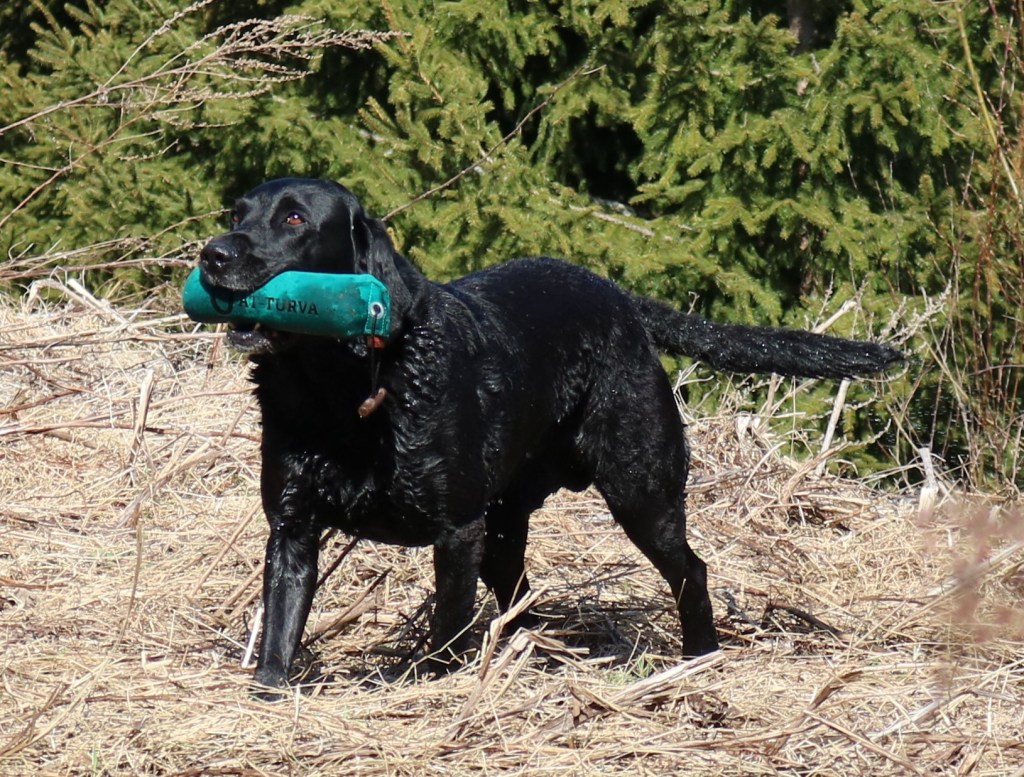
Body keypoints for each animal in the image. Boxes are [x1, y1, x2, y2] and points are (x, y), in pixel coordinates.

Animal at [197, 178, 902, 698]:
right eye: (238, 213)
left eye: (294, 220)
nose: (213, 254)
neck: (342, 392)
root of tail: (620, 297)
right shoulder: (291, 530)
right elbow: (280, 625)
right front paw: (269, 694)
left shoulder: (455, 529)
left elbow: (447, 628)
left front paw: (431, 685)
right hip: (509, 518)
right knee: (518, 587)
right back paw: (537, 650)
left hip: (641, 491)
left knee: (691, 570)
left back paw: (698, 657)